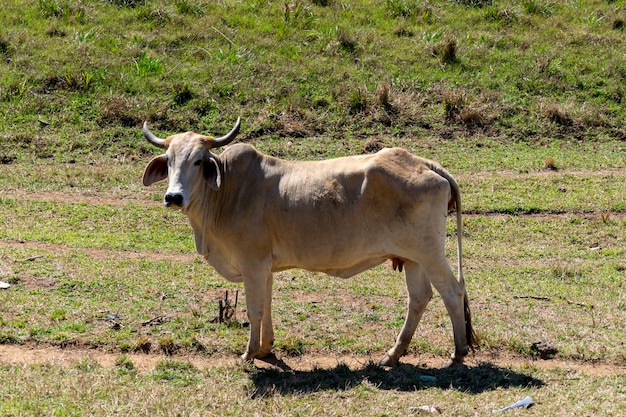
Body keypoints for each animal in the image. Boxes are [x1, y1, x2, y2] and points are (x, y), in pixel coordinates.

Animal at [140, 118, 472, 368]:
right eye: (168, 161)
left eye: (198, 161)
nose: (173, 197)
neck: (227, 191)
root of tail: (424, 163)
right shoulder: (265, 267)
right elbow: (267, 305)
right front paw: (266, 348)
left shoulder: (252, 263)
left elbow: (254, 309)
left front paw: (249, 353)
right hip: (413, 258)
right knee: (419, 298)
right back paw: (392, 355)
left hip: (430, 253)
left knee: (452, 291)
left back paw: (457, 353)